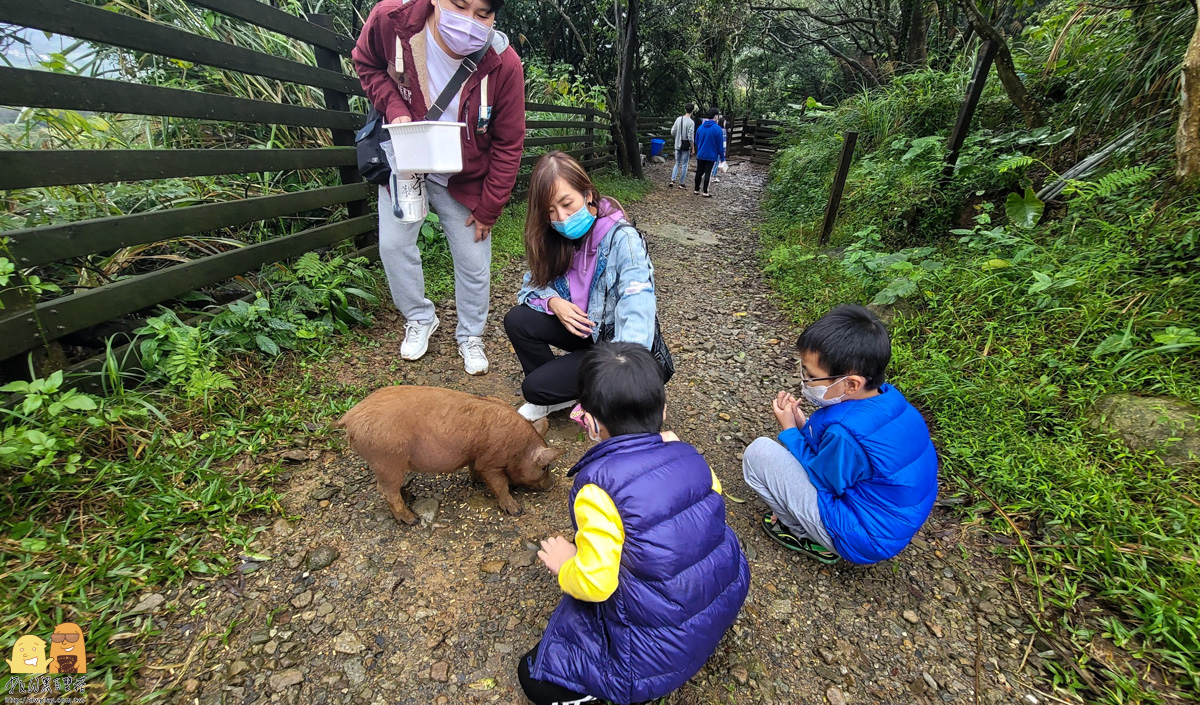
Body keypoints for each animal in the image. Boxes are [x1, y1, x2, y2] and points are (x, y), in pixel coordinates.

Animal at [338, 386, 561, 522]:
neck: (519, 448)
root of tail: (350, 417)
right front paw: (517, 511)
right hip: (386, 459)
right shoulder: (490, 462)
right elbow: (500, 486)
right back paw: (411, 520)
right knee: (385, 490)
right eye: (544, 467)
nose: (552, 485)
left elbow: (474, 469)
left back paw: (409, 495)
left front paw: (476, 482)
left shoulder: (476, 457)